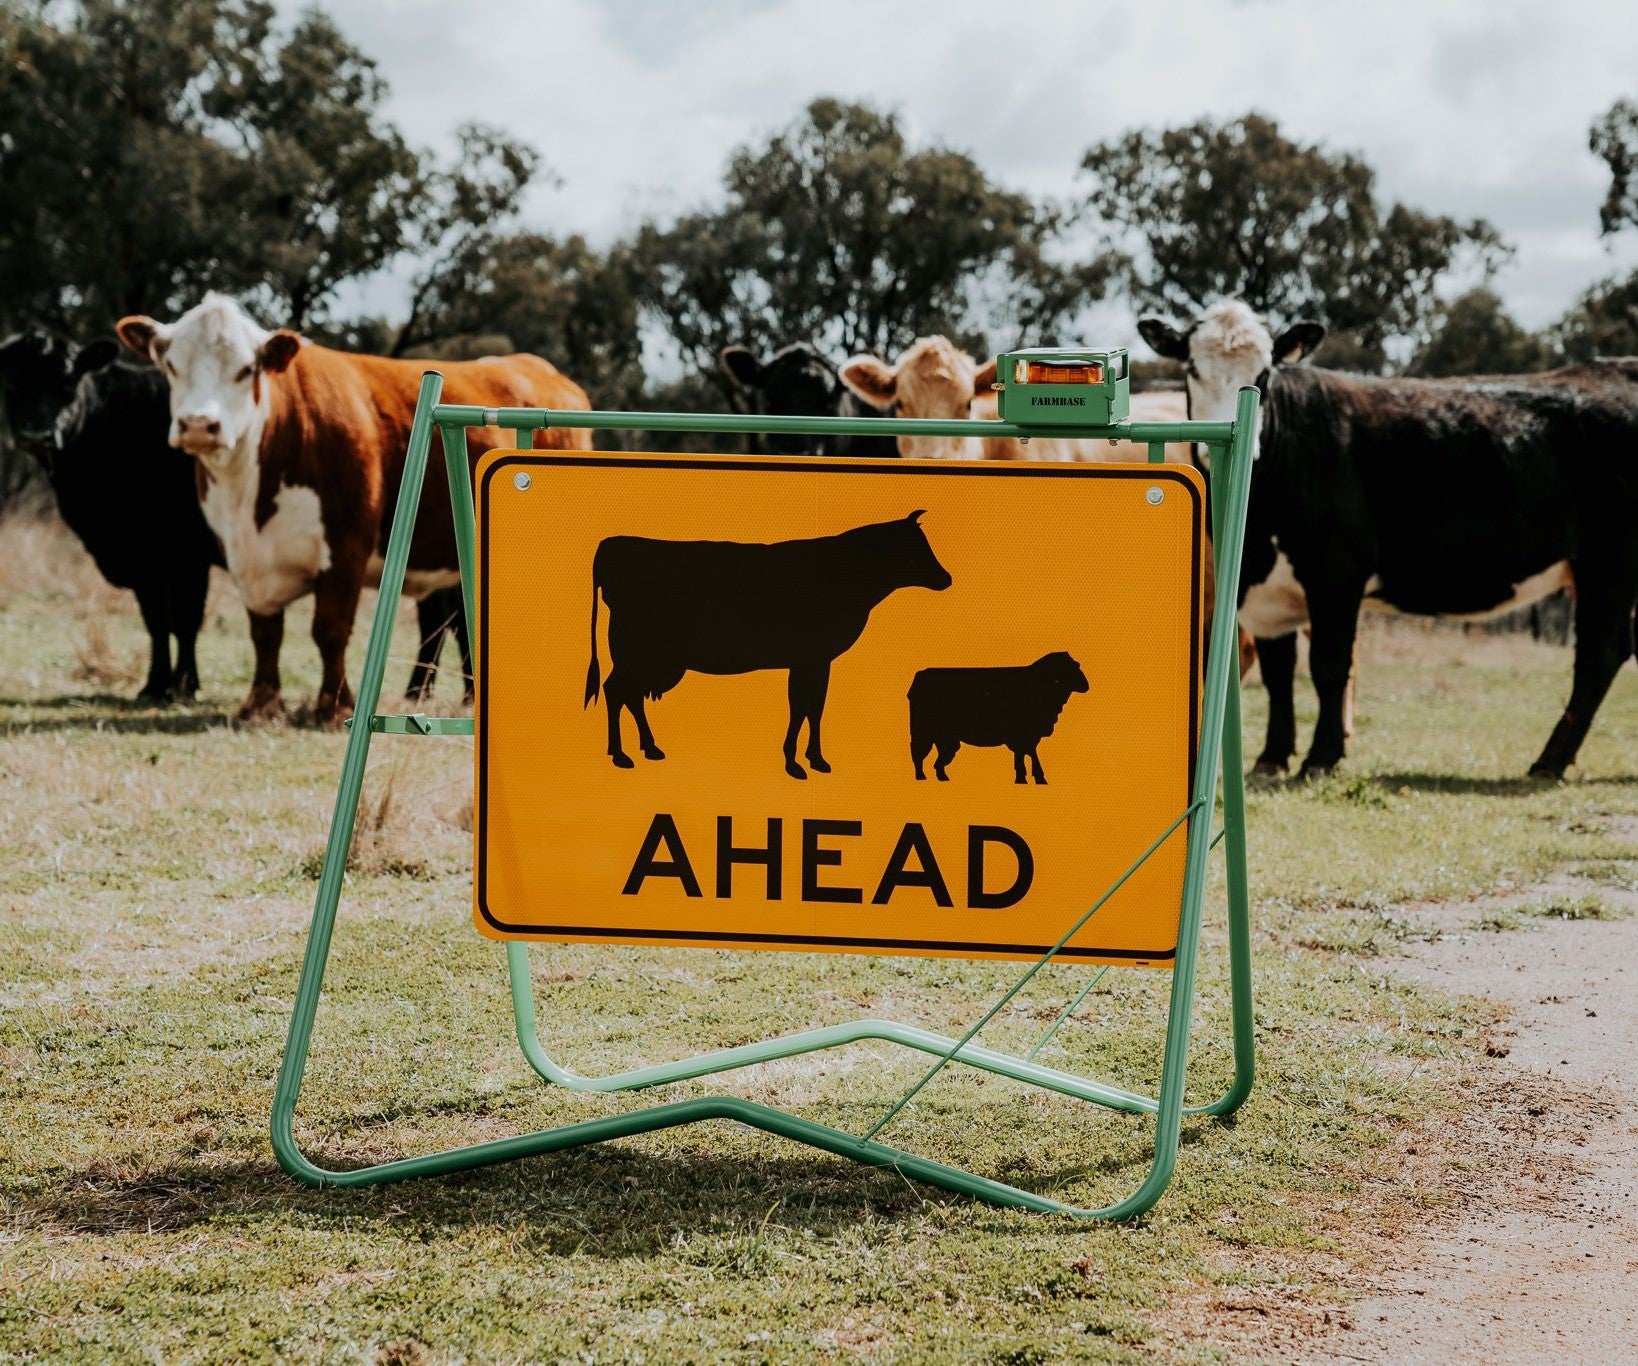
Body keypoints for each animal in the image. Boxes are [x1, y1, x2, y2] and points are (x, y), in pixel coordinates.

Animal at [119, 293, 596, 723]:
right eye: (170, 365)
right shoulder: (241, 553)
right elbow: (265, 633)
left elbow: (329, 629)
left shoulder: (346, 544)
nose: (199, 425)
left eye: (245, 369)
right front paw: (260, 705)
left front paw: (331, 707)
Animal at [586, 507, 950, 773]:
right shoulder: (811, 658)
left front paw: (813, 759)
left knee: (629, 696)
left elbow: (812, 708)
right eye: (915, 551)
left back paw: (648, 748)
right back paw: (620, 754)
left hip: (650, 660)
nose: (947, 578)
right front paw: (795, 761)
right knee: (616, 691)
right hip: (638, 655)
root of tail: (608, 548)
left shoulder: (815, 660)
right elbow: (803, 707)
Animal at [910, 645, 1087, 776]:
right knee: (919, 753)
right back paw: (921, 777)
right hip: (924, 732)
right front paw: (1030, 776)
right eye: (1072, 668)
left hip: (945, 737)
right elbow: (1026, 754)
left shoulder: (1029, 734)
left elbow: (1026, 754)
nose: (1086, 685)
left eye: (1077, 666)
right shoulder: (1022, 734)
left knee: (938, 760)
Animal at [1146, 306, 1638, 776]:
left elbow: (1328, 665)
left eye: (1264, 373)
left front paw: (1321, 758)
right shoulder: (1262, 589)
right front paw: (1272, 757)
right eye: (1192, 368)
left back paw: (1549, 761)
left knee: (1599, 655)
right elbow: (1278, 672)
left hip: (1608, 565)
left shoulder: (1336, 576)